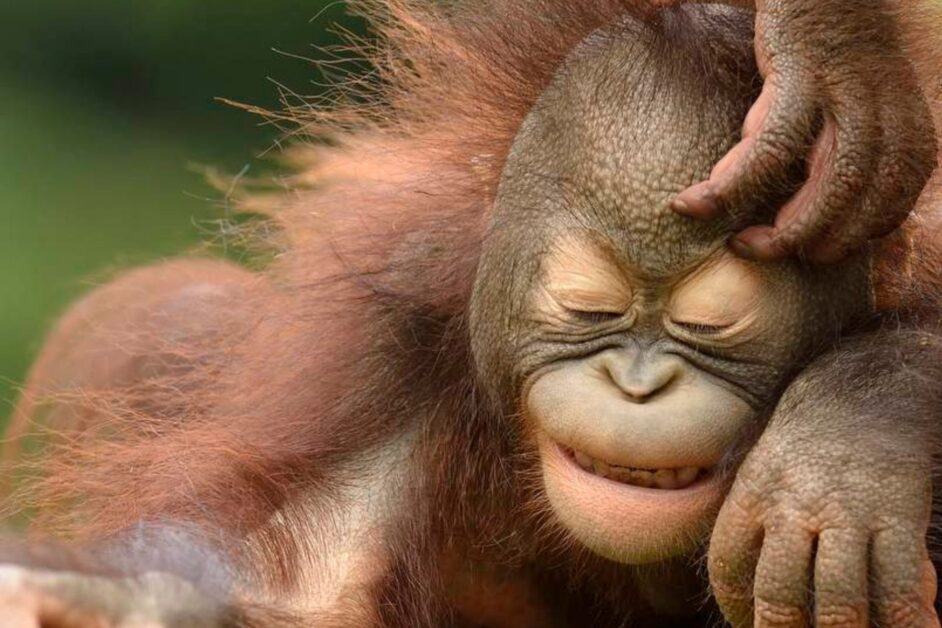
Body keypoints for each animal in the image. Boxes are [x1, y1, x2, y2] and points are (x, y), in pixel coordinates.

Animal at [0, 1, 940, 627]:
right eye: (586, 309)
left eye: (712, 325)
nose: (637, 386)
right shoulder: (403, 359)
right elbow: (295, 579)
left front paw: (843, 451)